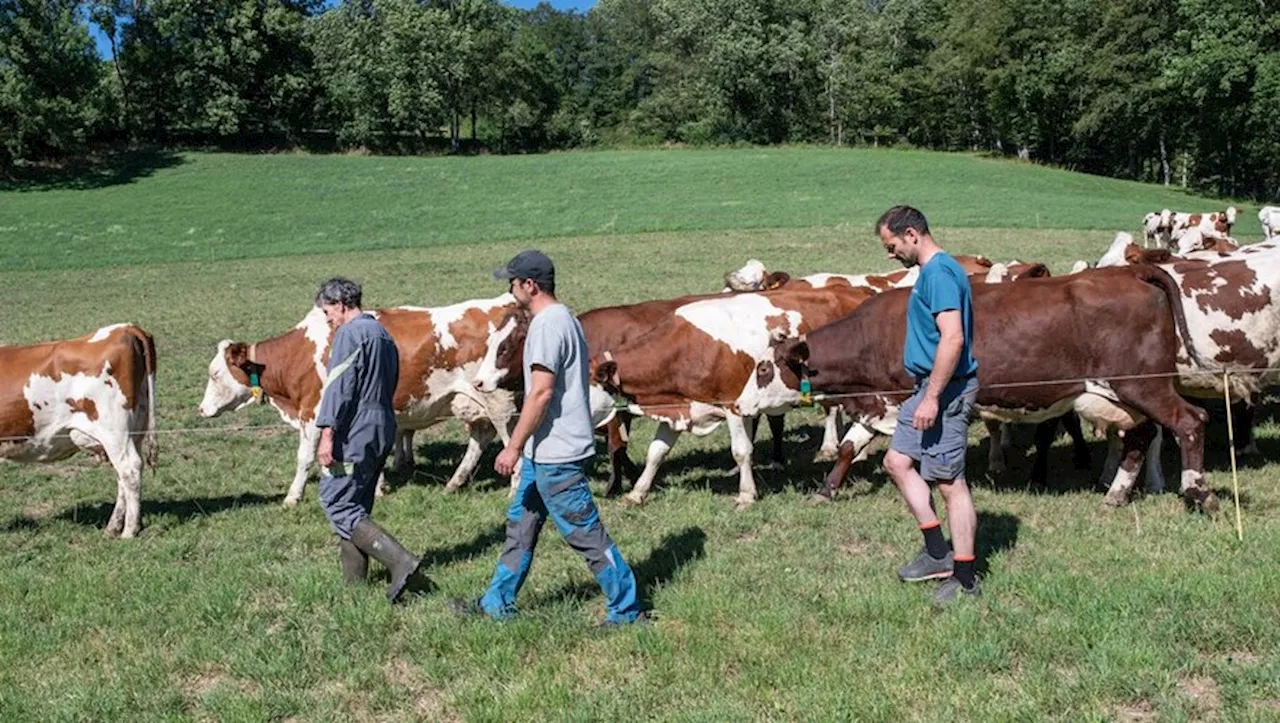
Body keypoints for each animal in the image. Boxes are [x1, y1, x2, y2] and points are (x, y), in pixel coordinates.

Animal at [0, 323, 158, 537]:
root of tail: (125, 327)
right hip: (135, 430)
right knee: (123, 476)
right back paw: (113, 527)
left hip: (114, 431)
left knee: (129, 469)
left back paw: (129, 531)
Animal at [195, 295, 524, 504]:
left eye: (214, 373)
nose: (201, 409)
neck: (302, 353)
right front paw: (373, 487)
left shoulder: (313, 413)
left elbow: (305, 457)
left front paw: (292, 497)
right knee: (480, 437)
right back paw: (455, 483)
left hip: (500, 404)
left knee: (512, 446)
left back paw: (513, 490)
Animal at [773, 263, 1213, 506]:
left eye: (768, 366)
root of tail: (1128, 271)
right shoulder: (880, 400)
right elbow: (850, 447)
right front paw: (827, 489)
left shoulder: (906, 400)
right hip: (1122, 395)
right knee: (1141, 435)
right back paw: (1116, 495)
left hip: (1143, 385)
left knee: (1190, 422)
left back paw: (1199, 494)